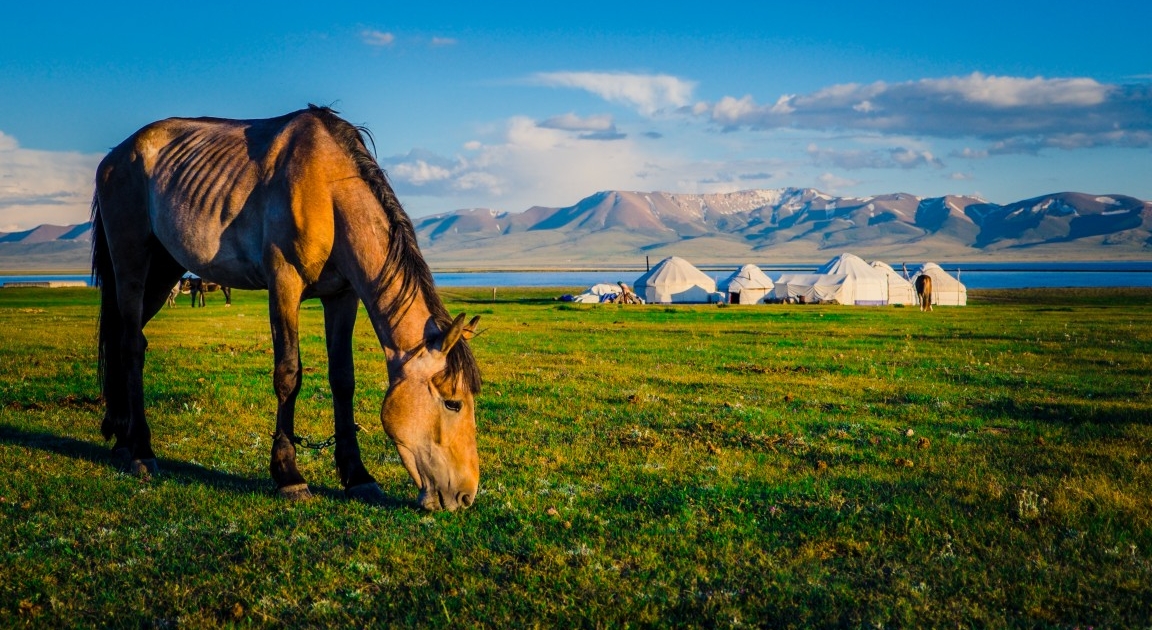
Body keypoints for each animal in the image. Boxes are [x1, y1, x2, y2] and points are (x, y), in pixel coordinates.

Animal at [91, 105, 482, 511]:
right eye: (453, 403)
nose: (466, 495)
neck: (328, 189)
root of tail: (115, 156)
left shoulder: (342, 296)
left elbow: (343, 379)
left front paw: (357, 476)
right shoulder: (283, 283)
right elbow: (288, 375)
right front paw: (288, 475)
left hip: (165, 270)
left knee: (126, 339)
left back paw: (121, 438)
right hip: (132, 264)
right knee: (131, 347)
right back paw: (141, 450)